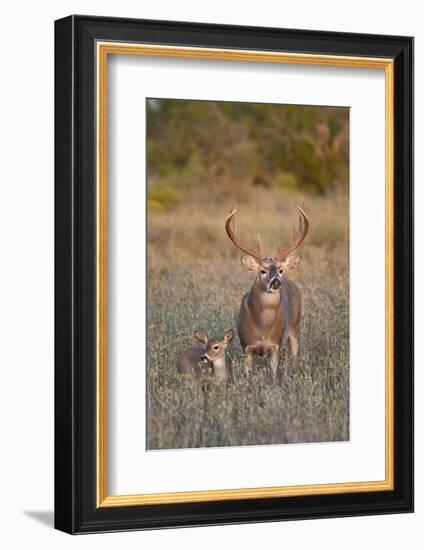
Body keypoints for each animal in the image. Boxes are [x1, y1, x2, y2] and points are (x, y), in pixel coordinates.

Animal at [225, 205, 308, 382]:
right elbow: (248, 374)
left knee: (295, 354)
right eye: (262, 270)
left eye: (281, 270)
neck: (263, 327)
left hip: (294, 326)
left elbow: (274, 374)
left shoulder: (276, 345)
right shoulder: (246, 346)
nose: (276, 281)